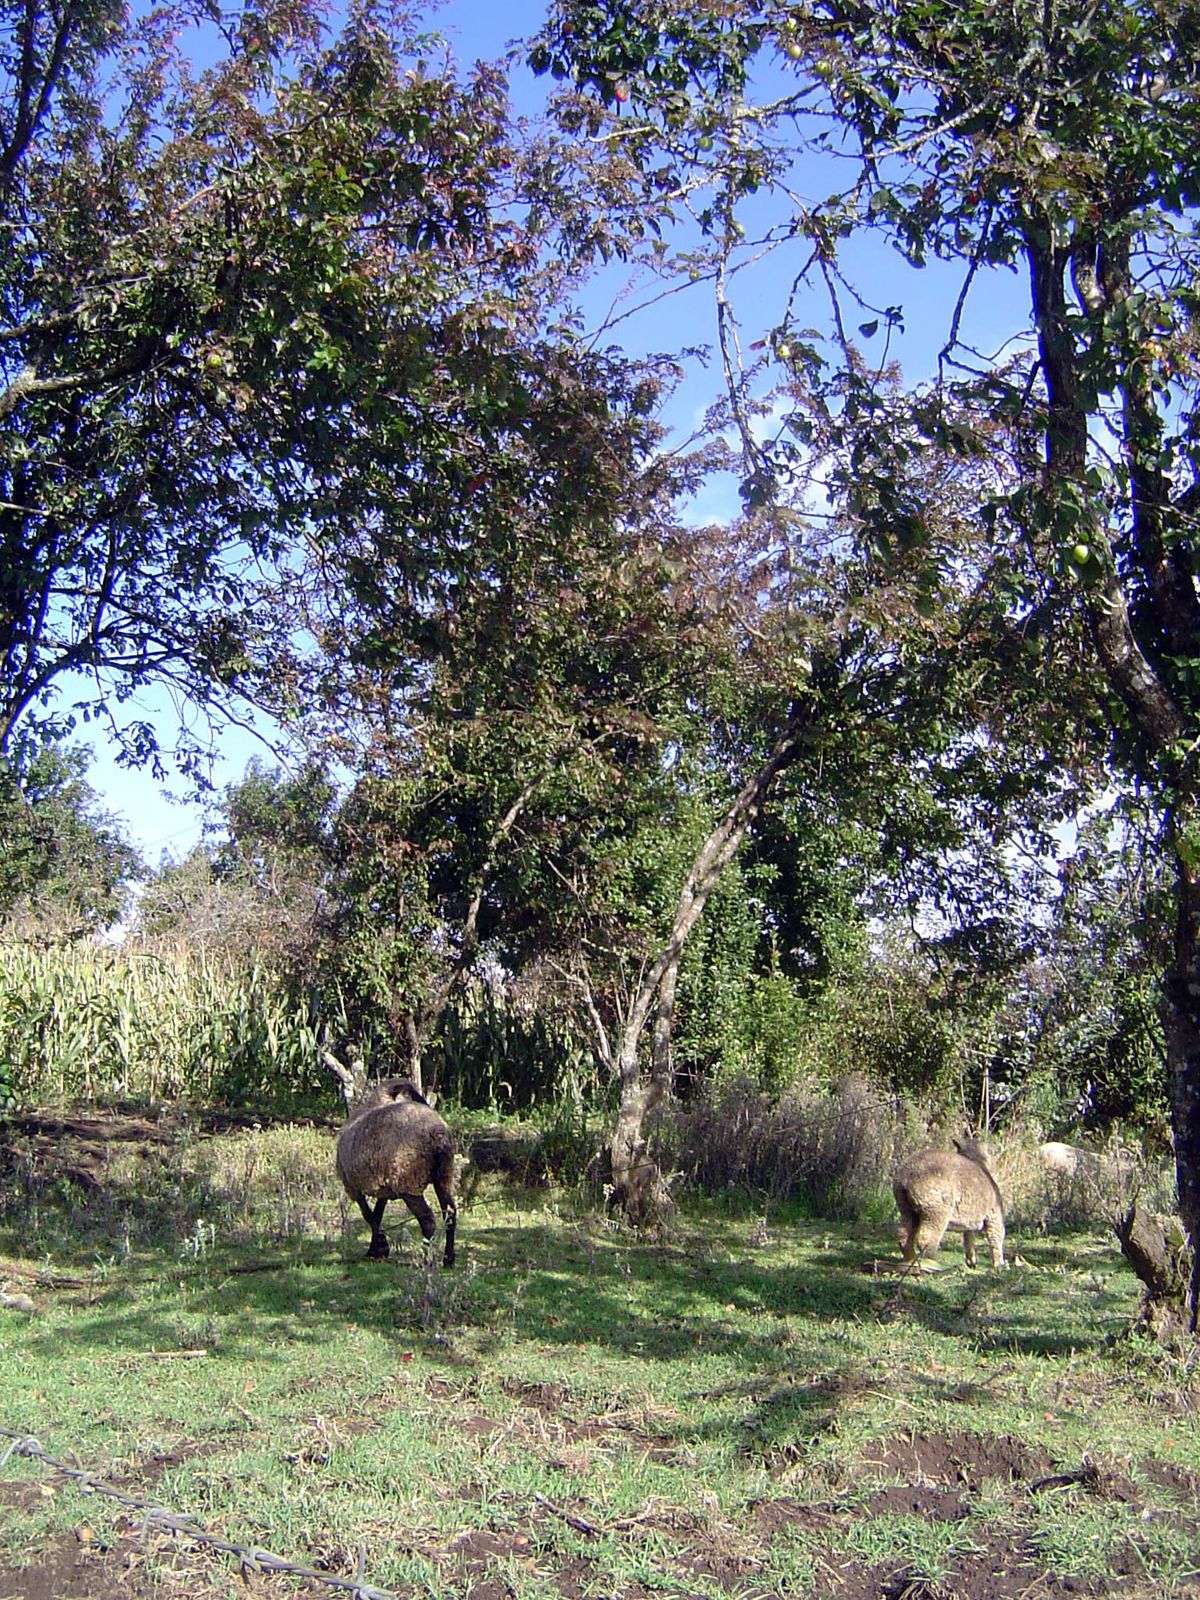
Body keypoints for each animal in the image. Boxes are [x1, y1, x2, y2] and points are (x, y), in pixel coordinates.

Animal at [336, 1078, 457, 1267]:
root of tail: (437, 1134)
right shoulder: (383, 1186)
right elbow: (377, 1215)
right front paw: (377, 1249)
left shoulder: (353, 1186)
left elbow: (369, 1216)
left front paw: (380, 1248)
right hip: (443, 1176)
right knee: (450, 1213)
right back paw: (448, 1259)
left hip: (409, 1181)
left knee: (428, 1219)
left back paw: (427, 1260)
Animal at [893, 1135, 1006, 1269]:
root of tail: (906, 1178)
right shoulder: (994, 1213)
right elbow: (996, 1236)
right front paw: (1000, 1264)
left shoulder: (971, 1217)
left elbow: (969, 1236)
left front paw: (971, 1260)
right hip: (935, 1209)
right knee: (926, 1238)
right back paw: (932, 1264)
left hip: (906, 1208)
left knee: (904, 1235)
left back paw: (909, 1261)